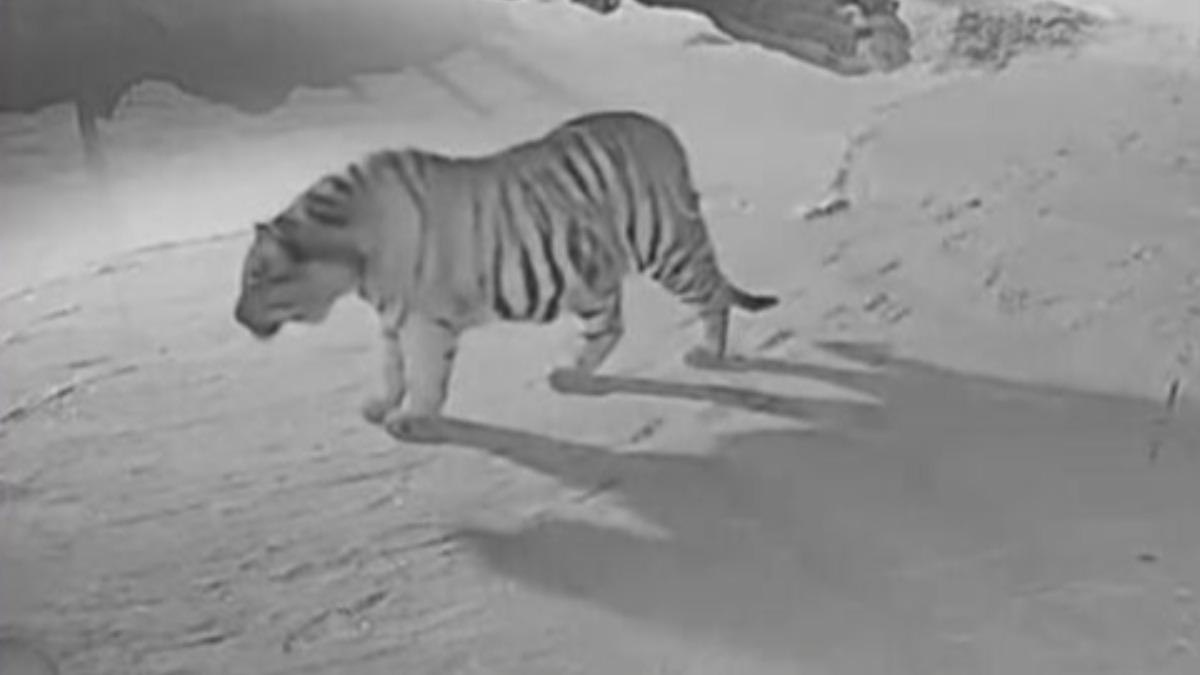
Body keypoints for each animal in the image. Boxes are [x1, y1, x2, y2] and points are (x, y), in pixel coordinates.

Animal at [233, 110, 778, 442]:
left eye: (257, 278)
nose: (237, 318)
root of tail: (665, 132)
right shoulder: (392, 319)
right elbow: (392, 366)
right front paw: (383, 404)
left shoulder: (425, 322)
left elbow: (425, 373)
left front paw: (413, 419)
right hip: (590, 278)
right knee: (611, 327)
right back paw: (572, 374)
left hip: (665, 248)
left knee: (712, 295)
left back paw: (708, 352)